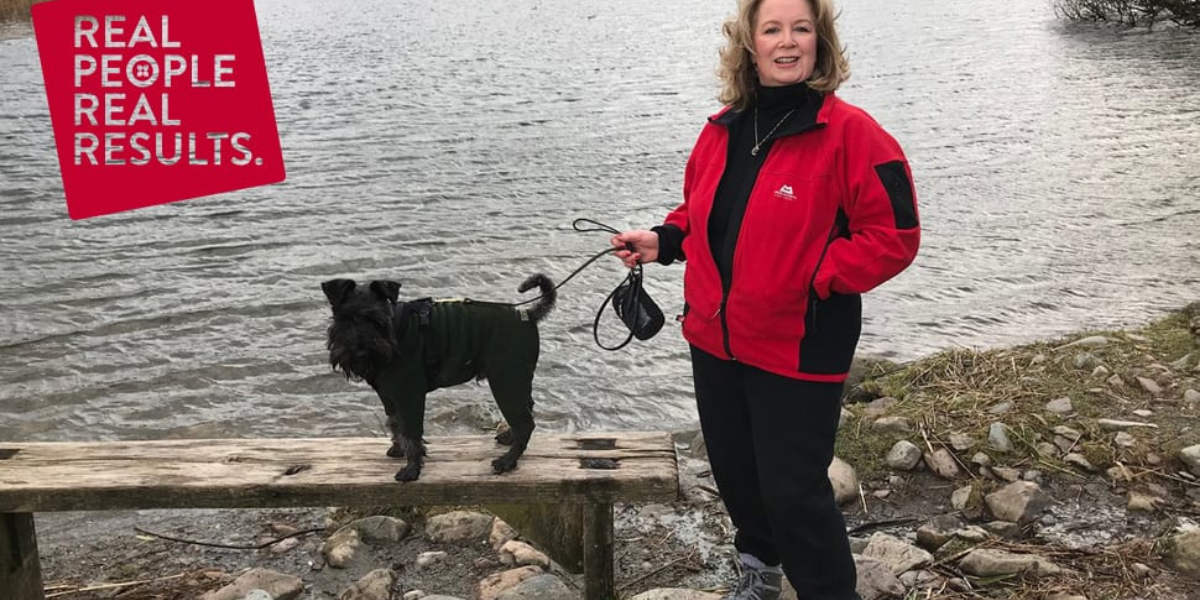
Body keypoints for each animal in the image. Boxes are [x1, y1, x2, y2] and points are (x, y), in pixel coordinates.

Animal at [324, 274, 556, 482]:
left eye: (377, 320)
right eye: (345, 319)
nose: (360, 350)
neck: (394, 331)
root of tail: (527, 314)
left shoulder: (409, 395)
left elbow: (412, 434)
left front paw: (411, 470)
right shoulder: (388, 396)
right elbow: (395, 424)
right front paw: (398, 449)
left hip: (506, 383)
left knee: (526, 424)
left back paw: (507, 461)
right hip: (516, 382)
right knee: (527, 409)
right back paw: (509, 438)